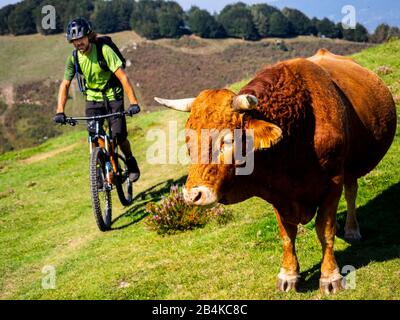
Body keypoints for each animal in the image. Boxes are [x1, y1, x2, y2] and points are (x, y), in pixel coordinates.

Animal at [154, 48, 396, 294]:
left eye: (228, 140)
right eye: (188, 141)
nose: (193, 195)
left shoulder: (333, 181)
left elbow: (325, 231)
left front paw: (330, 276)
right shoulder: (277, 193)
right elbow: (287, 234)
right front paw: (288, 274)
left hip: (351, 168)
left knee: (351, 193)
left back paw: (351, 230)